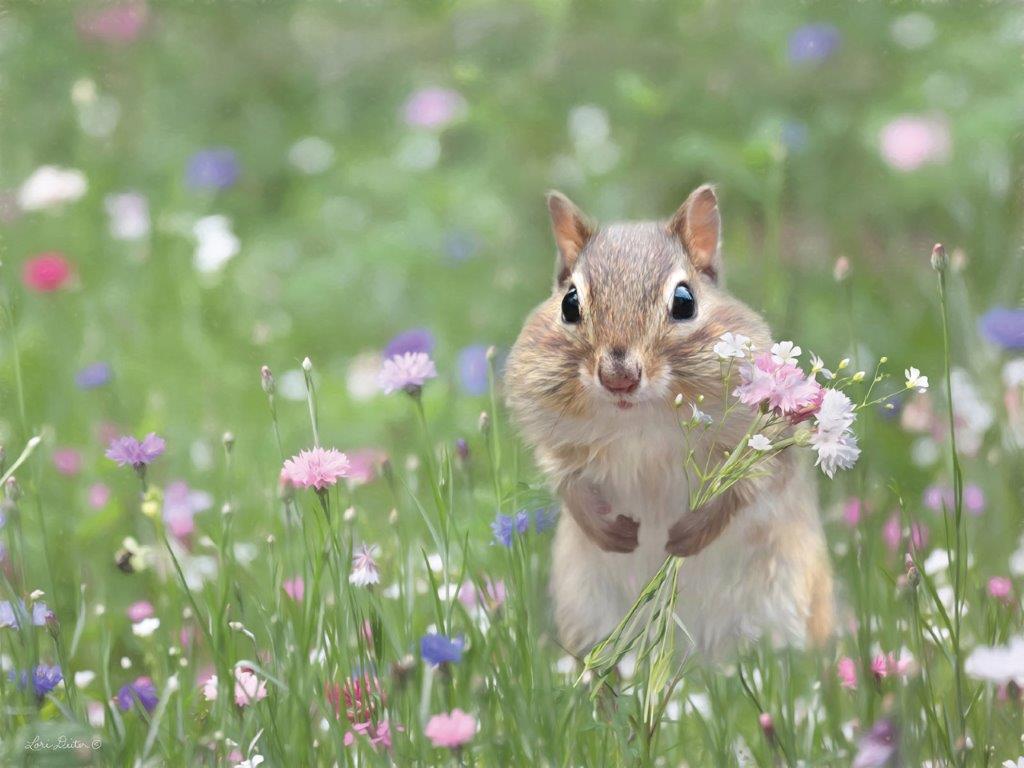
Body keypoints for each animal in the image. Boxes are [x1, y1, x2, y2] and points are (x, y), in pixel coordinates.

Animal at [505, 184, 834, 656]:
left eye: (684, 302)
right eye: (569, 303)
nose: (618, 378)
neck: (638, 420)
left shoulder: (763, 442)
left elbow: (747, 489)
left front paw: (686, 537)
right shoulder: (557, 442)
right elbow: (567, 483)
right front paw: (610, 532)